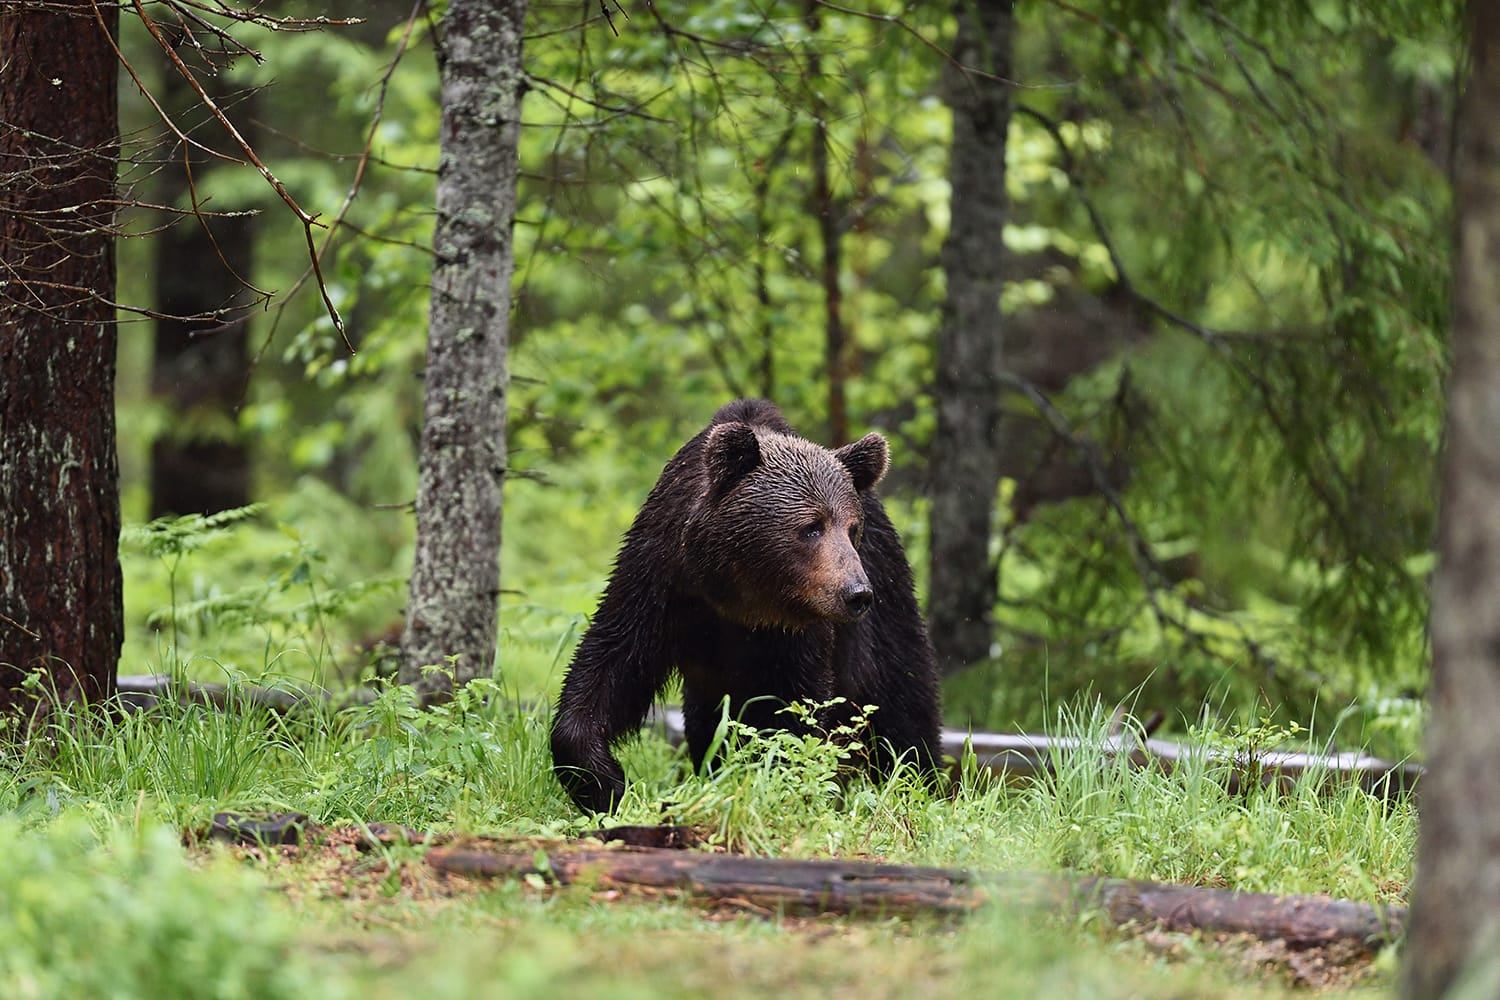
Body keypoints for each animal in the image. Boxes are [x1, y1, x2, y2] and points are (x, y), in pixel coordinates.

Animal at [550, 398, 943, 815]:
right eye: (812, 526)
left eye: (852, 529)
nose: (856, 593)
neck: (737, 594)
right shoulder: (660, 583)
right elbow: (611, 662)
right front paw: (605, 783)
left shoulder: (797, 634)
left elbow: (794, 712)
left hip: (886, 599)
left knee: (903, 698)